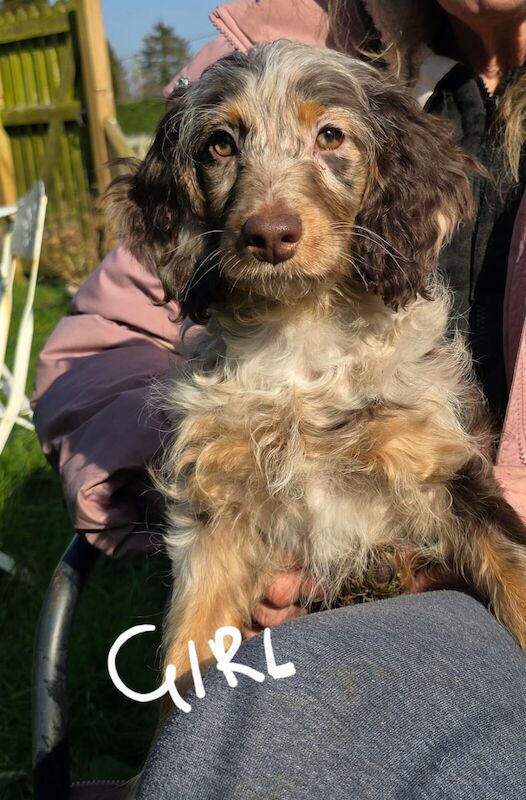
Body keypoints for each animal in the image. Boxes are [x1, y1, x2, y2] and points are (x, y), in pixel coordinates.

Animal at [109, 39, 526, 688]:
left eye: (330, 136)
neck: (302, 335)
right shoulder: (216, 517)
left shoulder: (449, 467)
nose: (269, 235)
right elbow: (189, 648)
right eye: (220, 145)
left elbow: (514, 570)